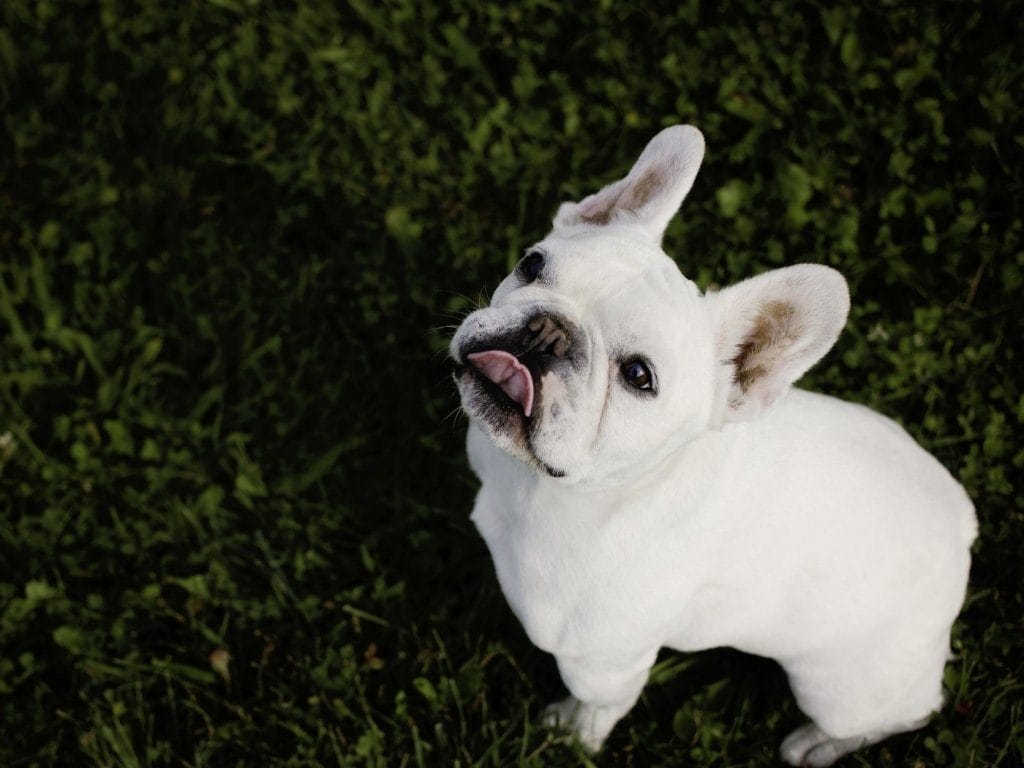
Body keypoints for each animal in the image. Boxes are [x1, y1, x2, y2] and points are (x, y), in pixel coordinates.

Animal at [450, 123, 974, 765]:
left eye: (639, 376)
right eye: (531, 264)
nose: (547, 331)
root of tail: (961, 523)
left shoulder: (603, 662)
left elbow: (597, 709)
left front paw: (572, 736)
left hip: (839, 687)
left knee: (907, 711)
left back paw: (818, 744)